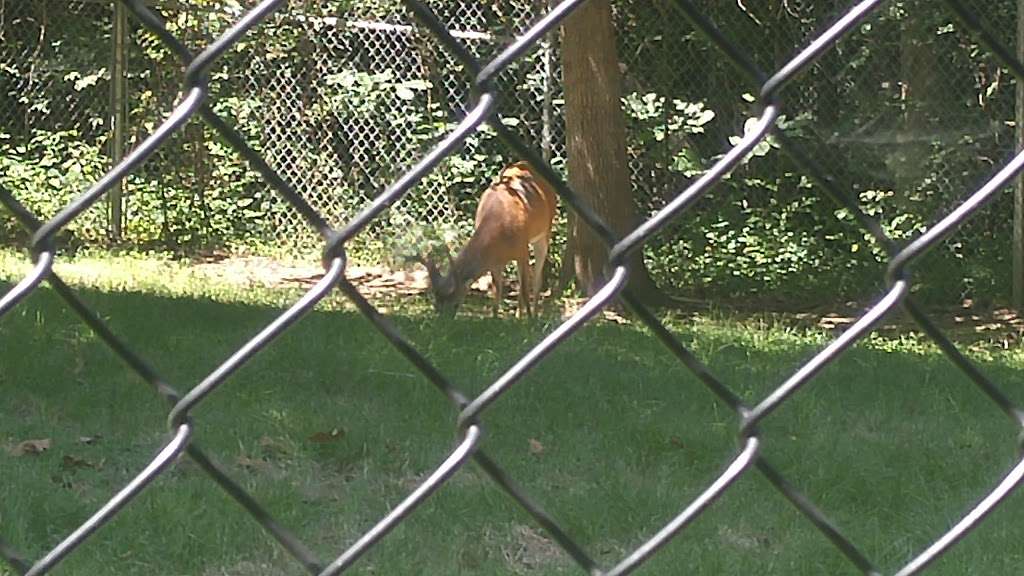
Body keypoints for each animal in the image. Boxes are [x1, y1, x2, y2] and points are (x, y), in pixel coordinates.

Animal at [428, 158, 565, 315]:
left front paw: (530, 319)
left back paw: (535, 314)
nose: (443, 319)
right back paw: (518, 315)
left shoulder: (522, 250)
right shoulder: (495, 258)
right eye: (436, 305)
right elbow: (497, 289)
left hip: (544, 231)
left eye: (455, 304)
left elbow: (525, 289)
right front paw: (494, 316)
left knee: (536, 278)